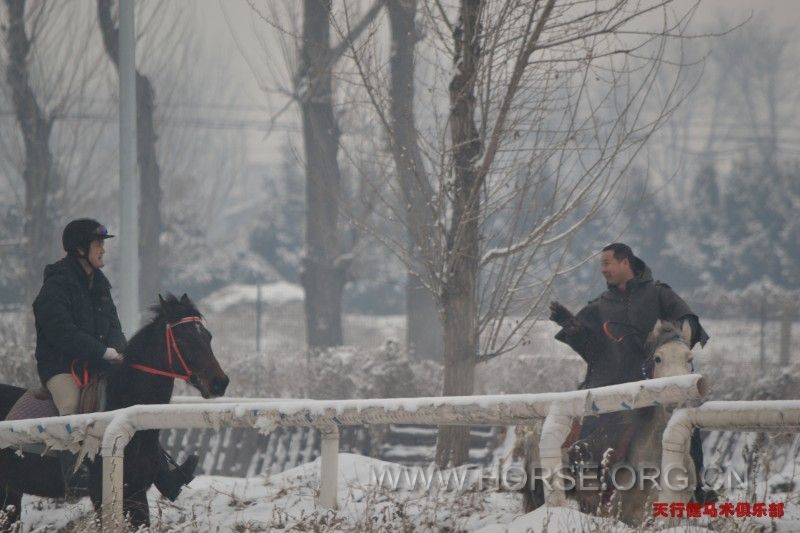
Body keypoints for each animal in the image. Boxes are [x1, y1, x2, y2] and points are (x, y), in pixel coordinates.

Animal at [0, 294, 228, 528]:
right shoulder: (102, 496)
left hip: (10, 491)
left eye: (208, 336)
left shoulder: (136, 493)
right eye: (182, 339)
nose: (219, 383)